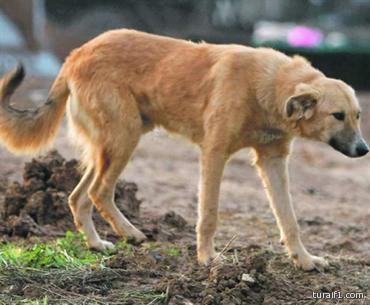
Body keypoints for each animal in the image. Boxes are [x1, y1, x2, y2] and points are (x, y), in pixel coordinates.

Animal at [0, 29, 368, 270]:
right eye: (337, 116)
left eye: (357, 115)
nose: (364, 149)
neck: (269, 87)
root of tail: (77, 53)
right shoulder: (214, 153)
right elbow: (209, 214)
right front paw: (207, 259)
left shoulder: (273, 161)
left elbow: (289, 219)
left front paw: (303, 260)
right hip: (123, 139)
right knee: (98, 193)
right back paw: (130, 233)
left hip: (110, 144)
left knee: (78, 197)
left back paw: (97, 244)